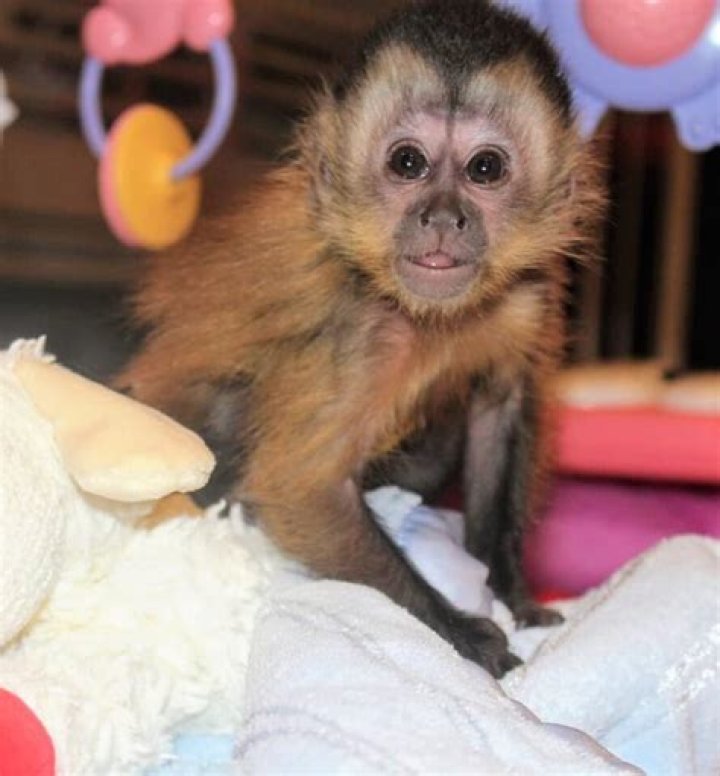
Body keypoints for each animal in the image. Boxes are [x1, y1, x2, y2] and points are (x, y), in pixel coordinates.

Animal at [117, 0, 602, 678]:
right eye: (408, 162)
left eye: (486, 168)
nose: (443, 217)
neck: (425, 313)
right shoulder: (359, 325)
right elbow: (303, 486)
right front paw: (464, 637)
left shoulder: (527, 295)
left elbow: (498, 409)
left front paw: (512, 595)